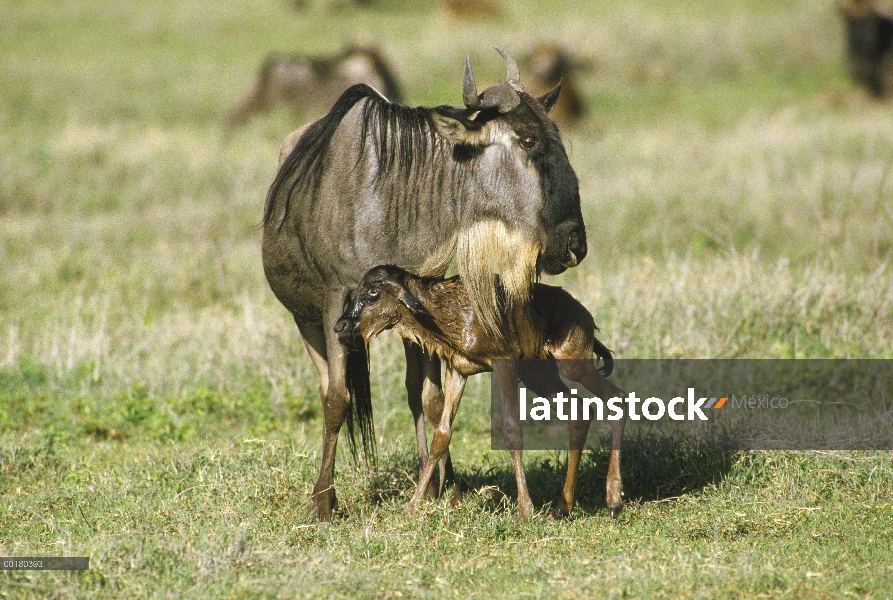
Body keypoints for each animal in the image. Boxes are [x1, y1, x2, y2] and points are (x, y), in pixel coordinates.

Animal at [336, 264, 628, 516]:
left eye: (373, 292)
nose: (340, 326)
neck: (444, 311)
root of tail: (583, 313)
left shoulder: (503, 363)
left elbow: (511, 430)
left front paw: (525, 509)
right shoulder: (458, 370)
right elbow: (441, 436)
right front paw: (412, 506)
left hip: (572, 363)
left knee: (617, 397)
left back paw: (613, 499)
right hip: (539, 375)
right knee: (579, 413)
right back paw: (563, 507)